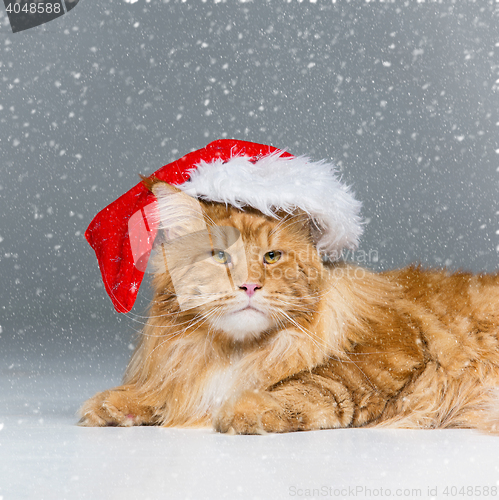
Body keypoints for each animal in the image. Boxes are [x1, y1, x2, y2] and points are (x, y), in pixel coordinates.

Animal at [79, 181, 499, 434]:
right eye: (219, 256)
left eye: (271, 256)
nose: (249, 285)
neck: (236, 353)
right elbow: (166, 390)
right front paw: (120, 402)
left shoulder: (391, 353)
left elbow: (314, 383)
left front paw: (243, 409)